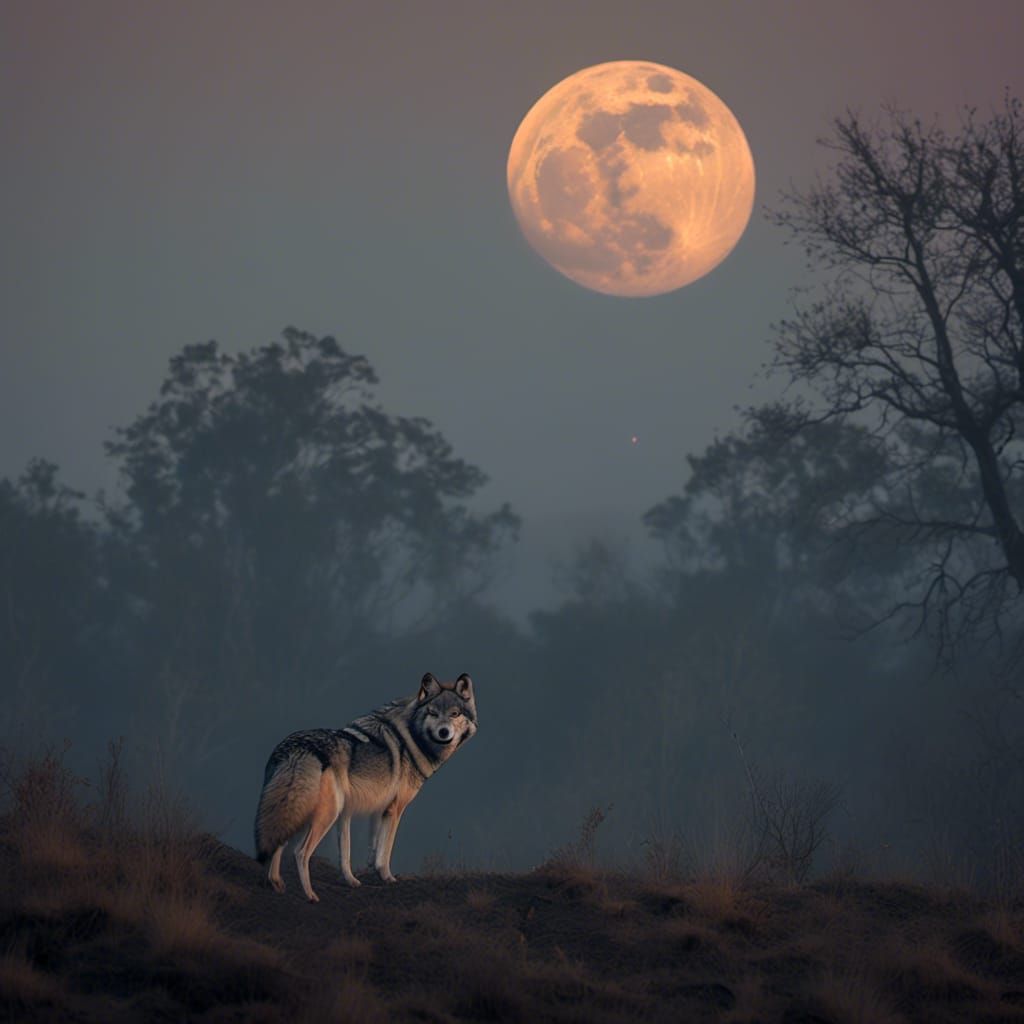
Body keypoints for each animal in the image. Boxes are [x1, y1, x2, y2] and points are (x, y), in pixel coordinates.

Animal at [253, 672, 477, 901]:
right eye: (433, 713)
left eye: (454, 714)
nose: (444, 732)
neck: (412, 738)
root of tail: (298, 749)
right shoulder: (395, 809)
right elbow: (384, 851)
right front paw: (387, 877)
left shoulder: (366, 810)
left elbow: (356, 850)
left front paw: (354, 879)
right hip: (326, 815)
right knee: (300, 852)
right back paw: (310, 895)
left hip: (301, 812)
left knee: (279, 841)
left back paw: (277, 883)